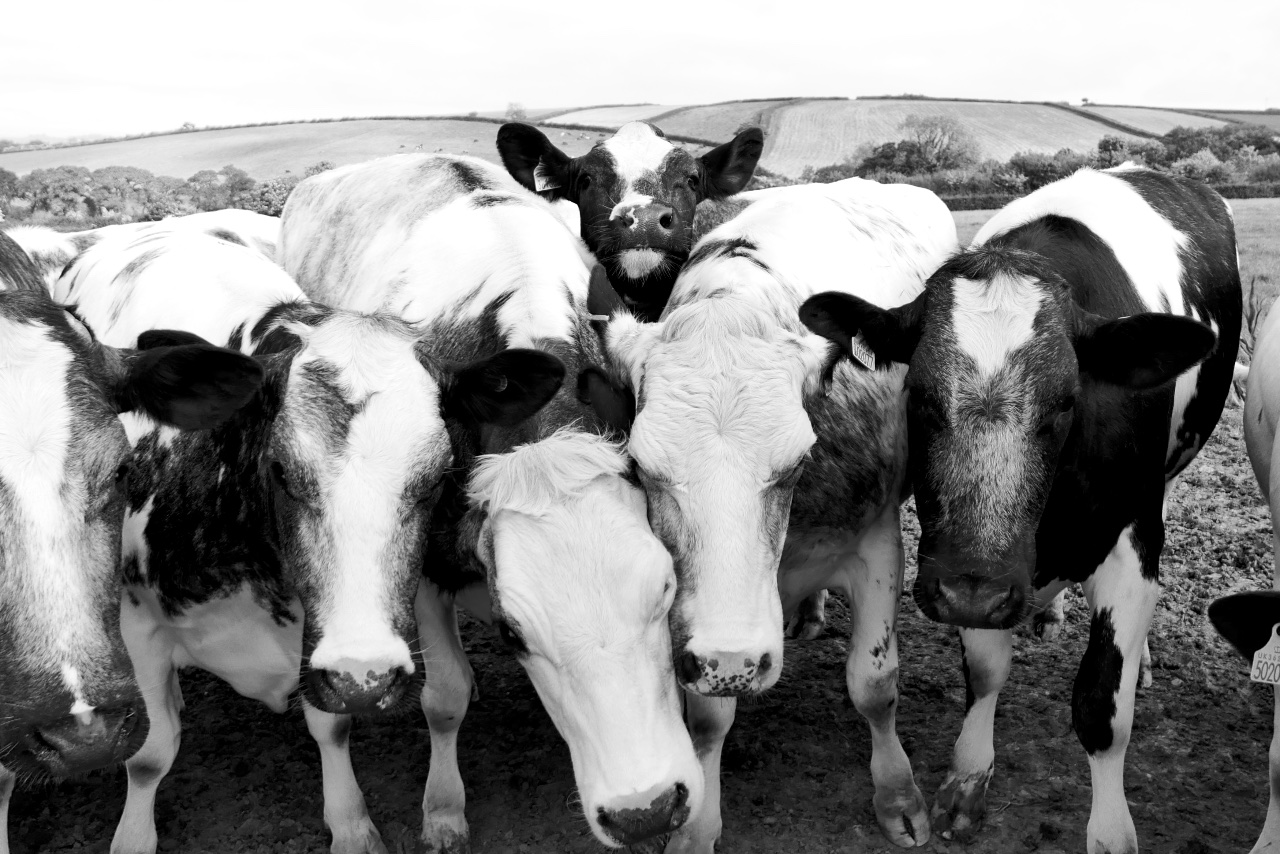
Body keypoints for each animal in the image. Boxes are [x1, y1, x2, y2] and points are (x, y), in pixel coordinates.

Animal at [47, 226, 561, 854]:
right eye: (281, 472)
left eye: (438, 476)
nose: (365, 677)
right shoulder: (135, 624)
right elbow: (148, 755)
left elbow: (332, 724)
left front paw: (350, 823)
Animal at [279, 153, 703, 851]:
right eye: (510, 631)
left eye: (665, 589)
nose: (645, 809)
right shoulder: (424, 560)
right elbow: (444, 695)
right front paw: (444, 809)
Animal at [578, 177, 958, 851]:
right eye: (643, 467)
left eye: (796, 460)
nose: (733, 662)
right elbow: (706, 717)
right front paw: (699, 827)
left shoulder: (879, 543)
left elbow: (874, 684)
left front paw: (898, 795)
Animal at [800, 166, 1240, 854]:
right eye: (917, 394)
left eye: (1066, 401)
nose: (969, 591)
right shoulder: (975, 573)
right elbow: (985, 670)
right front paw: (969, 777)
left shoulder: (1131, 537)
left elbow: (1101, 704)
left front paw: (1110, 831)